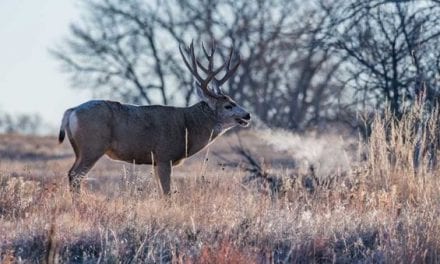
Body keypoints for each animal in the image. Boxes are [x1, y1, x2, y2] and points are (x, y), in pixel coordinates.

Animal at [58, 41, 251, 196]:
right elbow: (167, 193)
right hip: (93, 145)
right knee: (75, 176)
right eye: (228, 105)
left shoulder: (155, 162)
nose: (247, 115)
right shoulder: (165, 156)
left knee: (71, 174)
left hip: (80, 149)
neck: (188, 127)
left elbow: (160, 192)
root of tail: (71, 111)